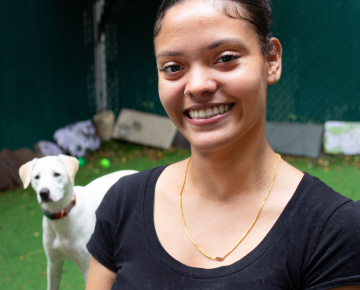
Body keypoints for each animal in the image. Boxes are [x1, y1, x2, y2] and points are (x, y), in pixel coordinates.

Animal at [19, 154, 138, 290]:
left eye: (57, 174)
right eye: (36, 177)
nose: (44, 192)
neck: (62, 218)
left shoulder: (87, 266)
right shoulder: (53, 264)